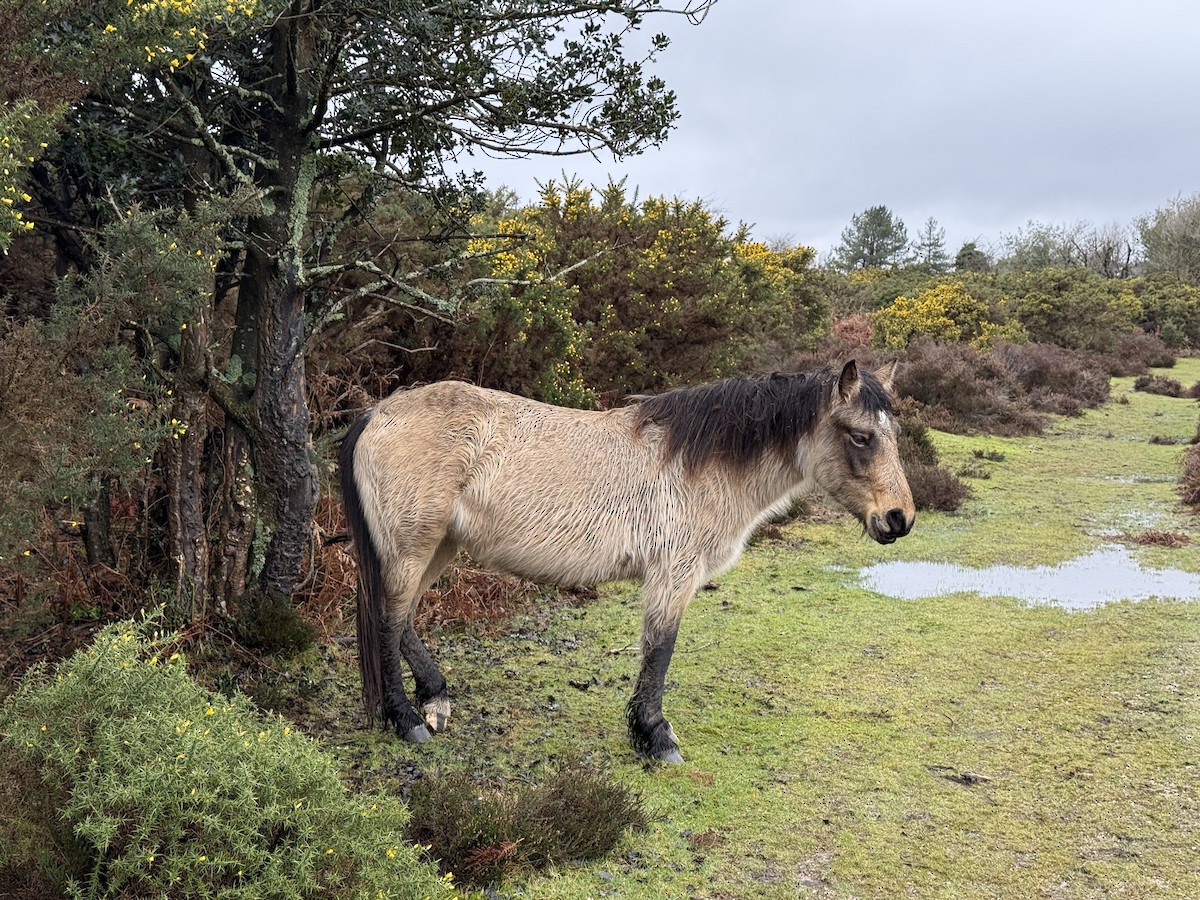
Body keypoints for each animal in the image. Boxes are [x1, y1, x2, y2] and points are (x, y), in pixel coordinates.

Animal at [338, 360, 915, 763]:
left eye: (895, 436)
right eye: (861, 437)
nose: (900, 518)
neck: (700, 463)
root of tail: (378, 412)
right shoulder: (672, 577)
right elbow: (660, 653)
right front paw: (656, 738)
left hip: (438, 547)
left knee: (403, 619)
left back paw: (435, 698)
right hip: (413, 546)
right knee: (388, 620)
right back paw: (407, 718)